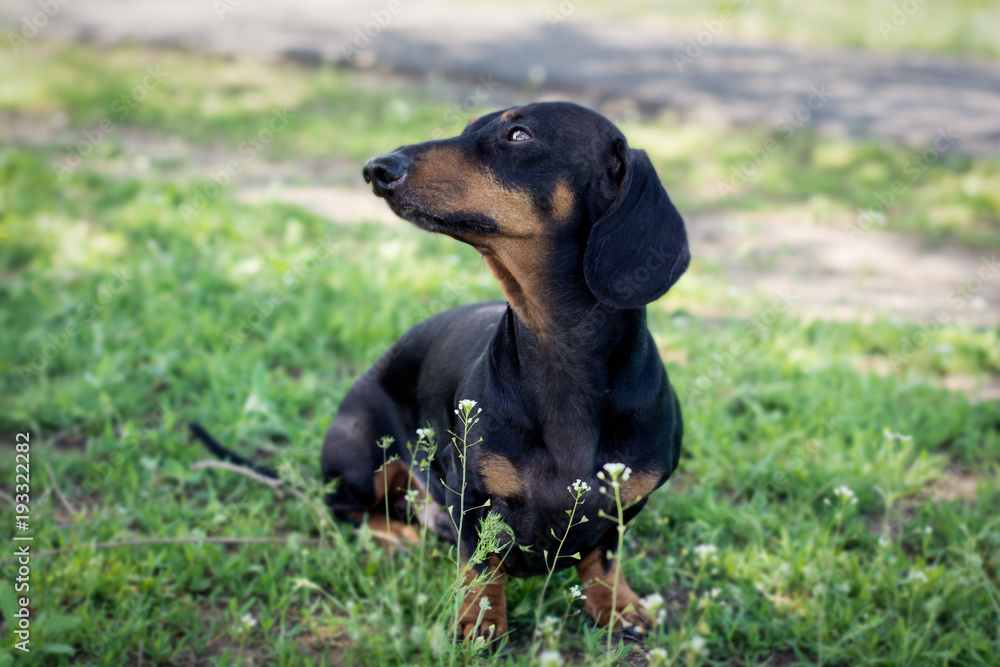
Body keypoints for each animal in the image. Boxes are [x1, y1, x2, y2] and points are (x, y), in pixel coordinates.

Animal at [320, 103, 688, 640]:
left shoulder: (628, 500)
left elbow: (602, 556)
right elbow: (480, 562)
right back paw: (404, 535)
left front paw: (615, 604)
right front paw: (479, 620)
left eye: (518, 134)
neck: (557, 347)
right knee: (348, 508)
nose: (376, 169)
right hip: (363, 459)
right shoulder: (470, 496)